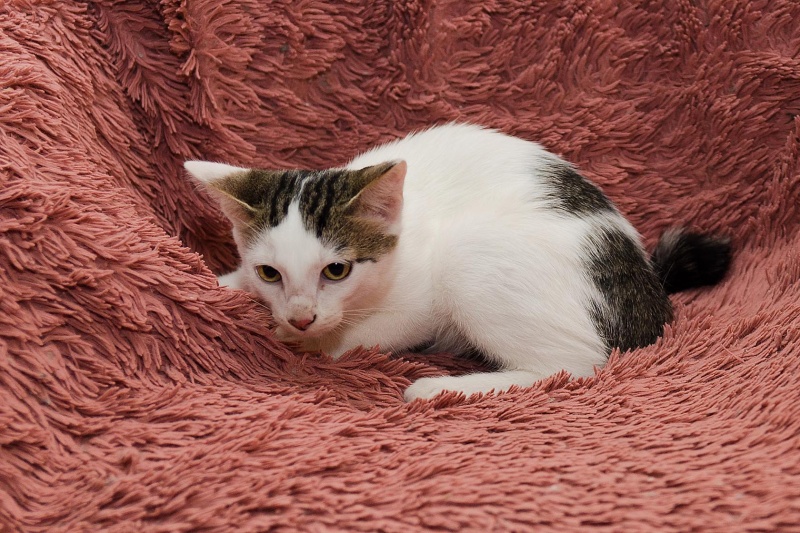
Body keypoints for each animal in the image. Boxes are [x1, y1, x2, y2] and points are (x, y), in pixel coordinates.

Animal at [185, 123, 731, 401]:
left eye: (336, 270)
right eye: (269, 273)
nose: (301, 316)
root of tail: (648, 294)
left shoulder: (420, 301)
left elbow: (360, 336)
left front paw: (308, 342)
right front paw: (229, 286)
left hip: (472, 254)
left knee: (579, 364)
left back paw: (443, 388)